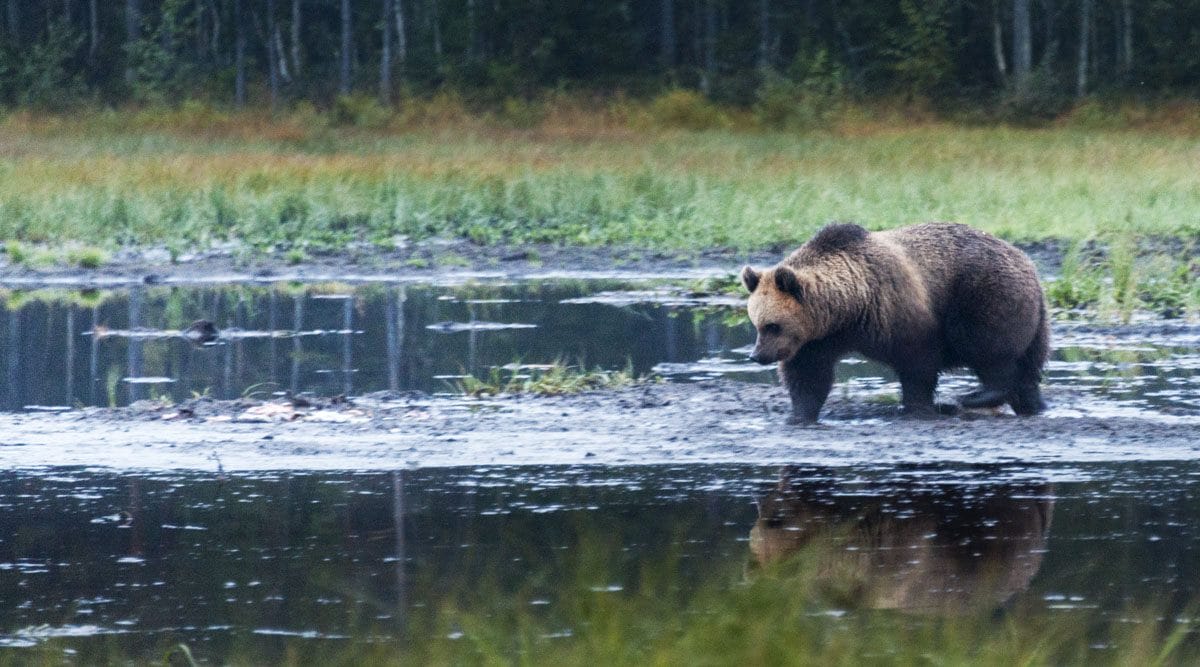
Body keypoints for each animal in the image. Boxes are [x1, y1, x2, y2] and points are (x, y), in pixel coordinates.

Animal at [739, 224, 1051, 422]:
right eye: (756, 323)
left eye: (773, 325)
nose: (758, 356)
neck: (848, 308)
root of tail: (1029, 265)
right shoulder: (817, 339)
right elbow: (808, 374)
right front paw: (799, 414)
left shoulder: (895, 309)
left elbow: (918, 363)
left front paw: (916, 406)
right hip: (1034, 320)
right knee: (1029, 368)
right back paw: (1032, 405)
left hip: (986, 295)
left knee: (986, 347)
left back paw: (970, 396)